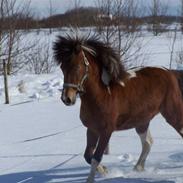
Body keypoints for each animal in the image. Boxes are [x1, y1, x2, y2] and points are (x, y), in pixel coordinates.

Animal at [53, 34, 183, 183]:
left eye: (77, 66)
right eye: (62, 67)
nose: (67, 99)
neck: (103, 94)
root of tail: (169, 72)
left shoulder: (106, 131)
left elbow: (96, 157)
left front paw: (94, 178)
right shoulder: (92, 129)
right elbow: (88, 156)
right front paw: (105, 171)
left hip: (173, 114)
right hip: (142, 121)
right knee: (148, 143)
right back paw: (137, 168)